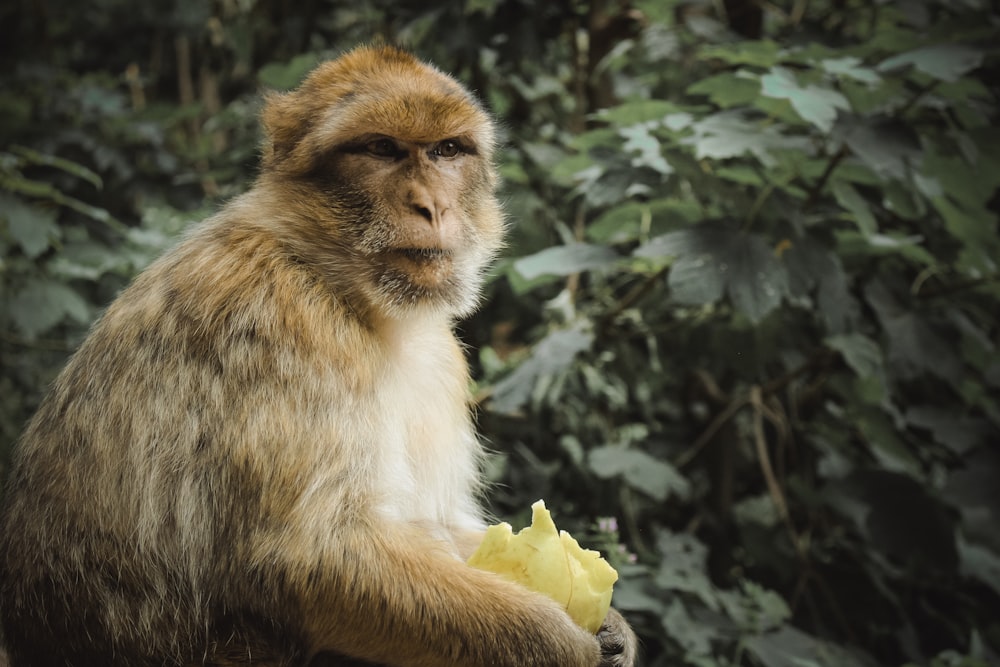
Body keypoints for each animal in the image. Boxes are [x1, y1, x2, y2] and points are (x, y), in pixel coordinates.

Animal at [0, 44, 636, 664]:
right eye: (381, 149)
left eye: (447, 150)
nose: (432, 206)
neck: (343, 285)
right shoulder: (284, 322)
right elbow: (309, 558)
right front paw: (553, 641)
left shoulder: (440, 358)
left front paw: (613, 629)